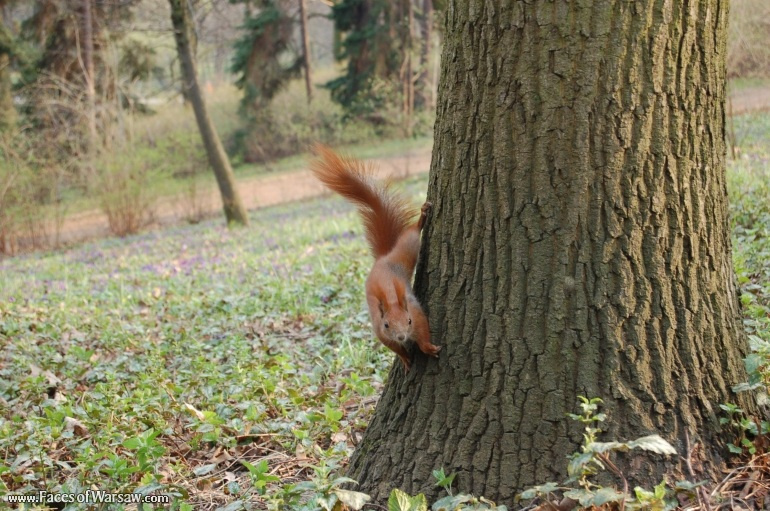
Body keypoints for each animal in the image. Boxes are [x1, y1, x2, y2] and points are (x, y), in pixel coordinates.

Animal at [310, 144, 442, 371]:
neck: (391, 299)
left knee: (412, 235)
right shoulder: (380, 331)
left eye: (408, 321)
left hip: (405, 251)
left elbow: (423, 331)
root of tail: (382, 257)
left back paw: (422, 219)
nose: (401, 336)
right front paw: (405, 357)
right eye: (387, 324)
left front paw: (427, 348)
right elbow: (391, 346)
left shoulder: (416, 314)